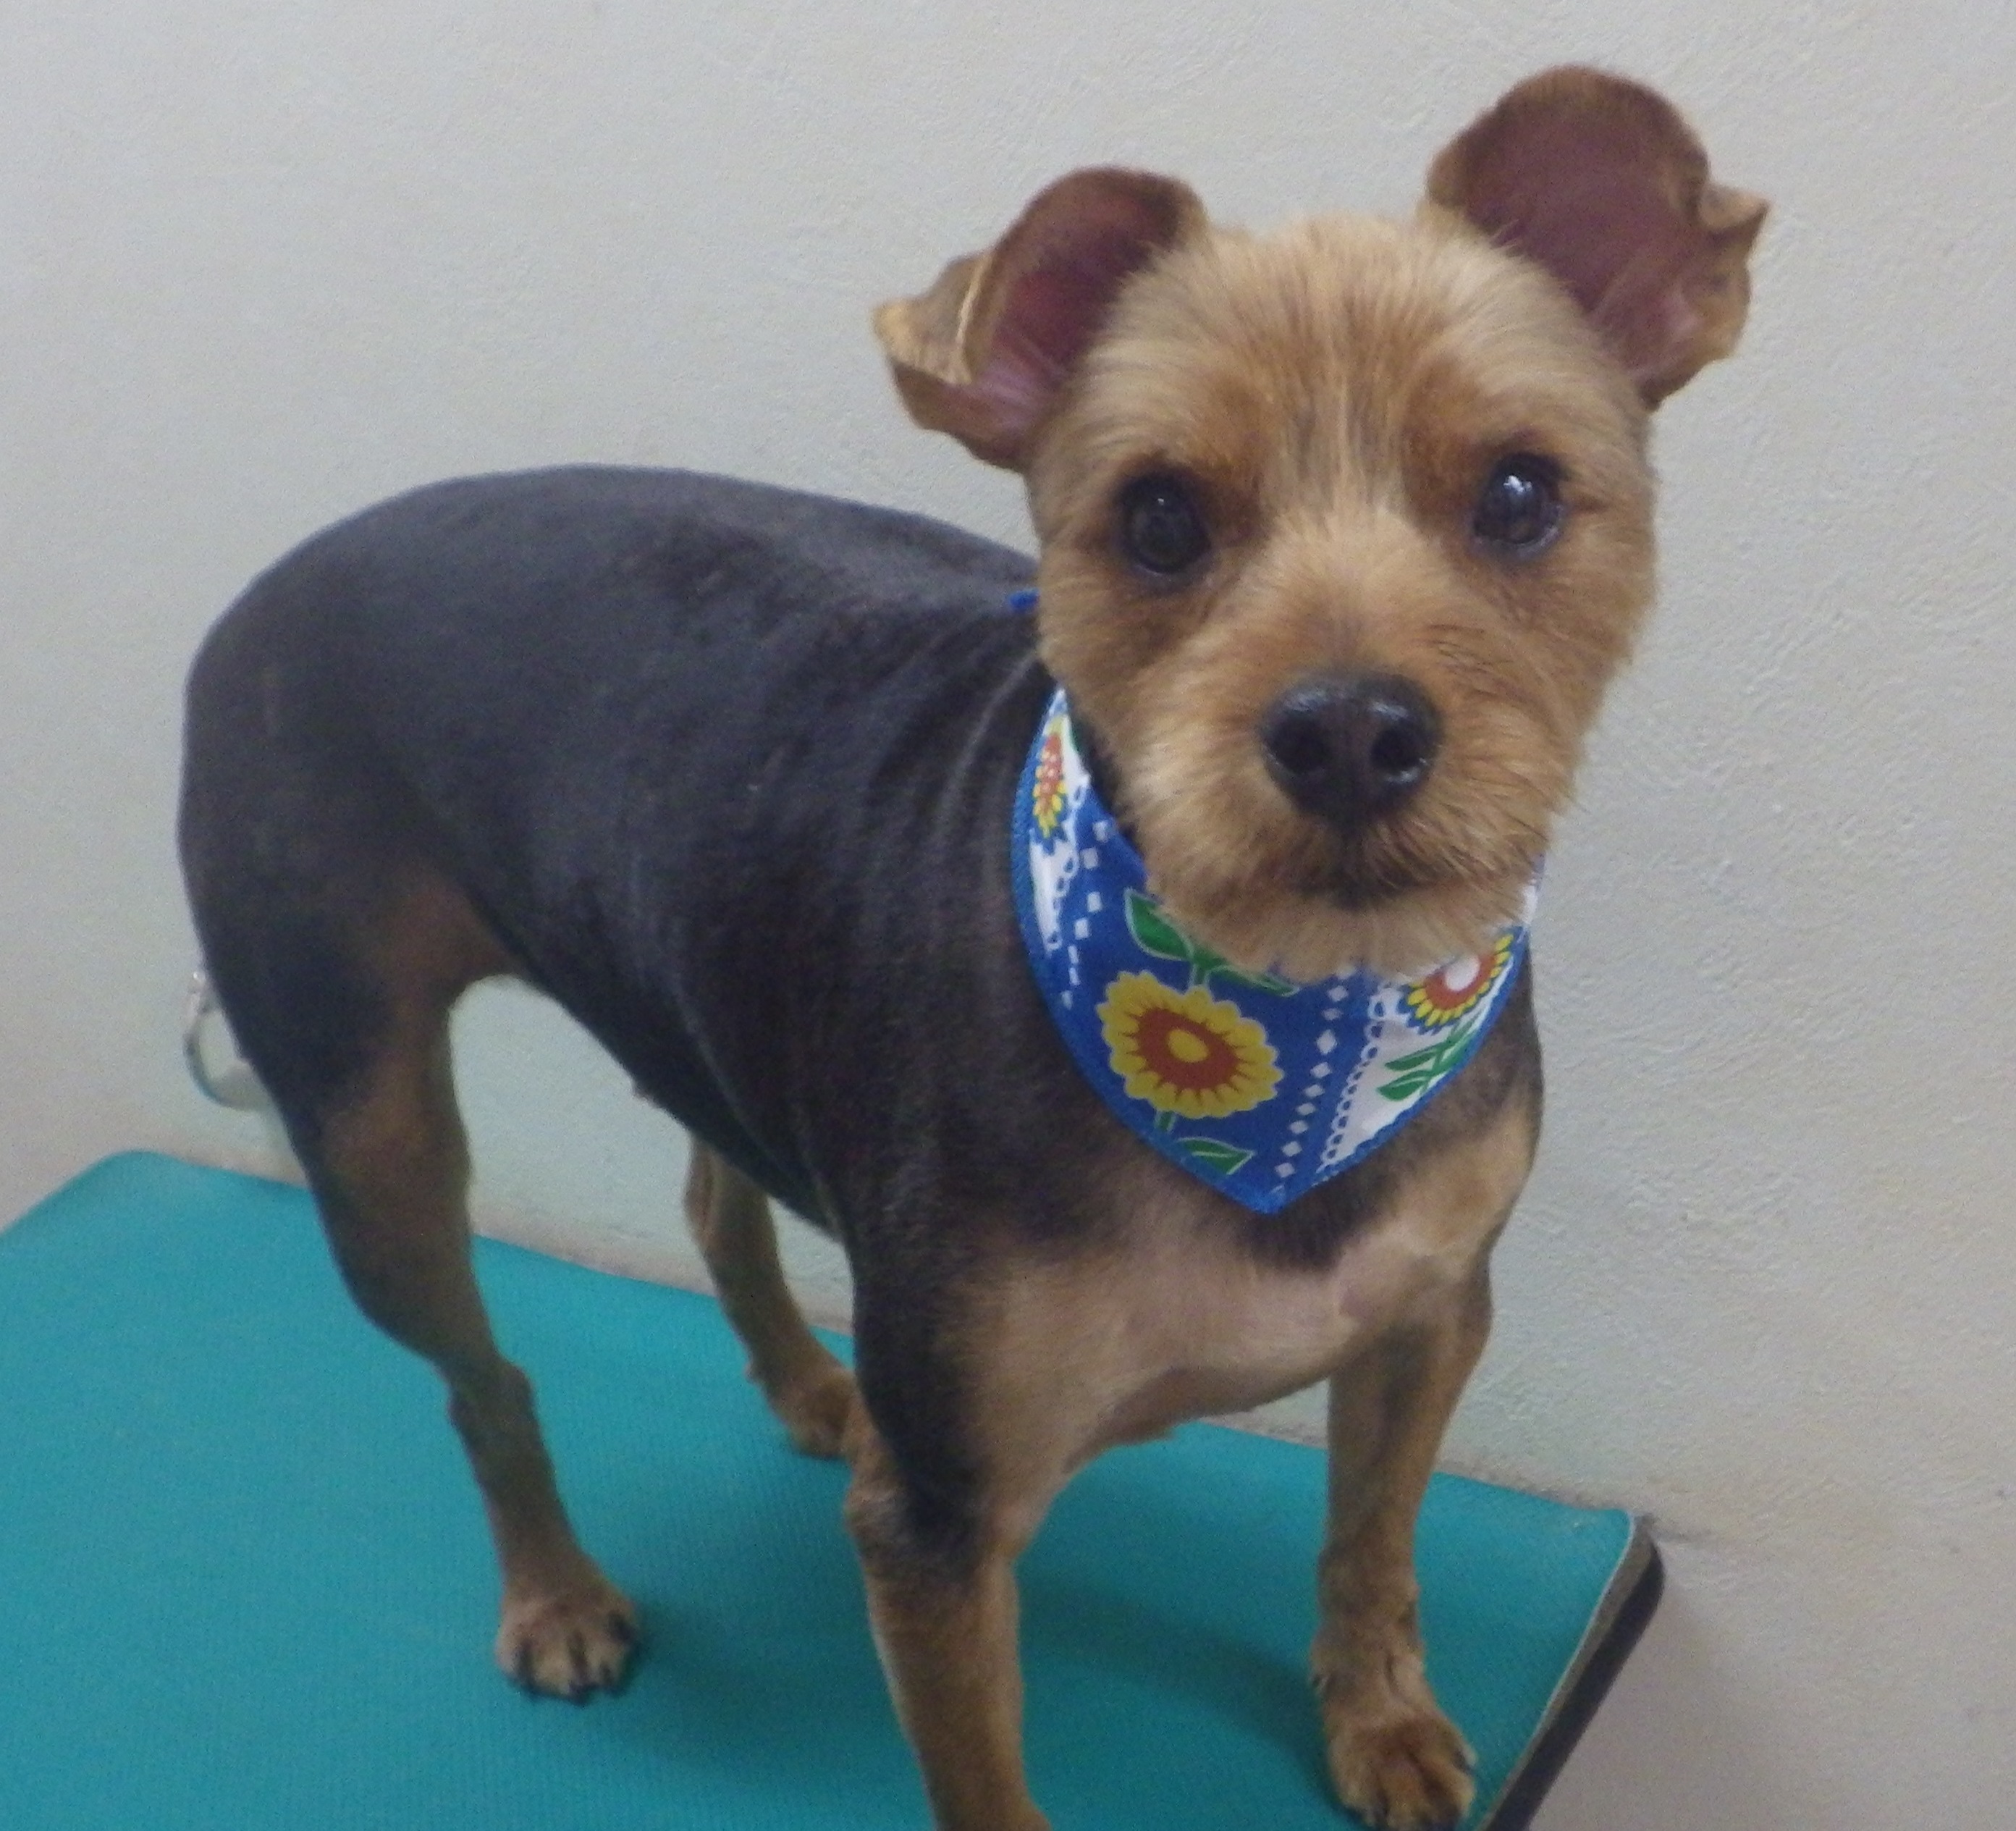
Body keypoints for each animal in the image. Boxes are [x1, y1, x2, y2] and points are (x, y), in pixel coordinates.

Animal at [178, 67, 1761, 1831]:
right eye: (1157, 518)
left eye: (1520, 494)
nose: (1350, 728)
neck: (1288, 1033)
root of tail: (278, 575)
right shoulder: (936, 1520)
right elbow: (985, 1782)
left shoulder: (1429, 1321)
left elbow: (1371, 1542)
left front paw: (1382, 1715)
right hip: (367, 1127)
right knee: (483, 1378)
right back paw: (559, 1593)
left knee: (715, 1193)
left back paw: (809, 1385)